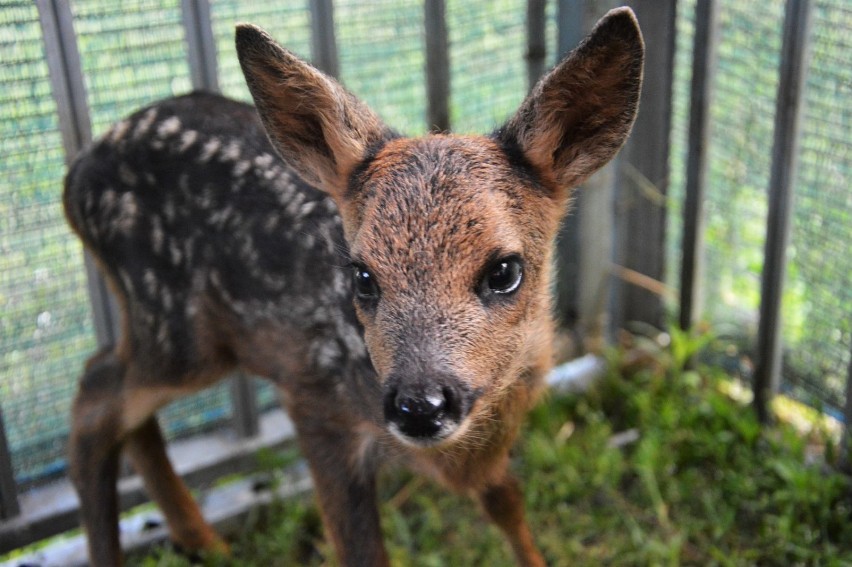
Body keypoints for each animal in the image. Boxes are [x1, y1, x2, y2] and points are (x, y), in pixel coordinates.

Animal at [65, 6, 640, 564]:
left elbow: (507, 501)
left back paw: (206, 543)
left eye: (504, 271)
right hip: (179, 330)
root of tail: (74, 178)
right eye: (362, 275)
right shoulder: (316, 399)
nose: (418, 406)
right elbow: (362, 548)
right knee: (96, 395)